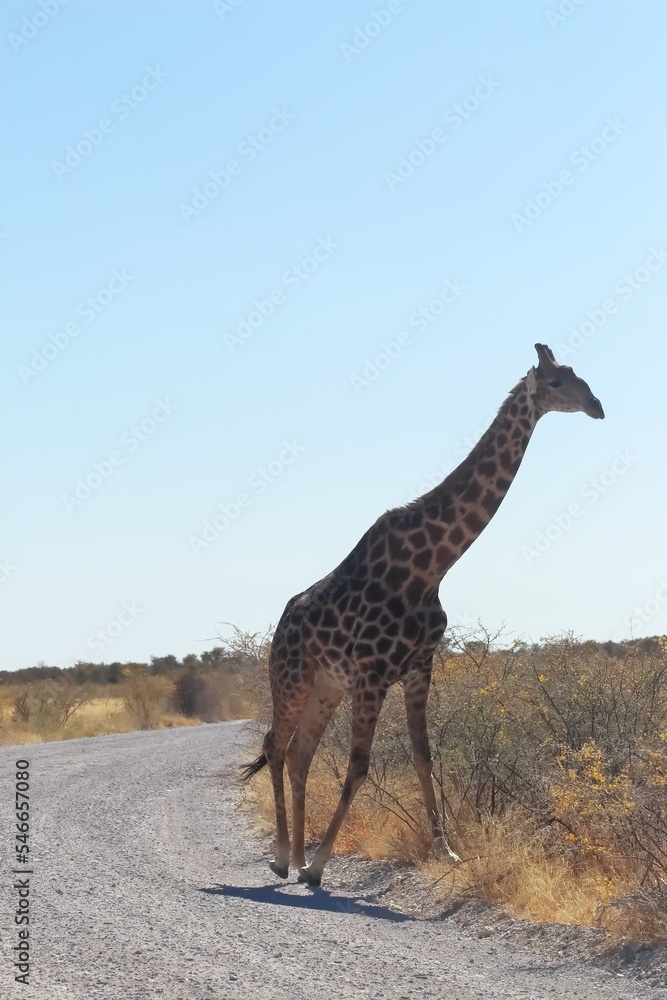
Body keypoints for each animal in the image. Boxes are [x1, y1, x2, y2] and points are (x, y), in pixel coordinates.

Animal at [242, 344, 604, 886]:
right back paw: (285, 858)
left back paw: (297, 857)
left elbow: (423, 757)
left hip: (327, 685)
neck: (433, 564)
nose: (597, 406)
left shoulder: (418, 667)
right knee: (274, 745)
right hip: (292, 679)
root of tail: (280, 628)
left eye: (578, 374)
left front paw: (447, 852)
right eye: (558, 381)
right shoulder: (373, 674)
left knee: (300, 753)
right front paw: (322, 864)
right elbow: (360, 765)